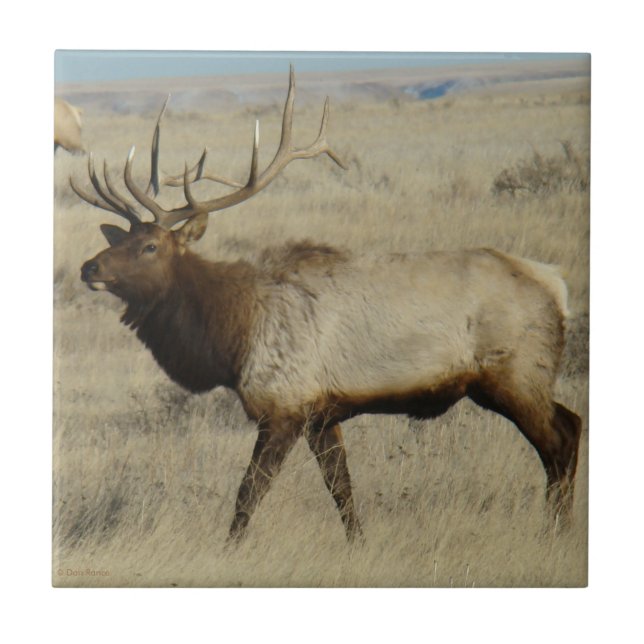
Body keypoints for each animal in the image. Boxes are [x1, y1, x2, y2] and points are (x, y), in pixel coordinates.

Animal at [72, 67, 582, 544]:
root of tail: (556, 285)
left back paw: (554, 532)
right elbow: (342, 489)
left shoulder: (284, 404)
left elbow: (249, 491)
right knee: (572, 424)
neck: (232, 333)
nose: (88, 267)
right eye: (122, 239)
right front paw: (358, 544)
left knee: (560, 438)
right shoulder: (323, 412)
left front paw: (228, 549)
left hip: (514, 373)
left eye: (150, 246)